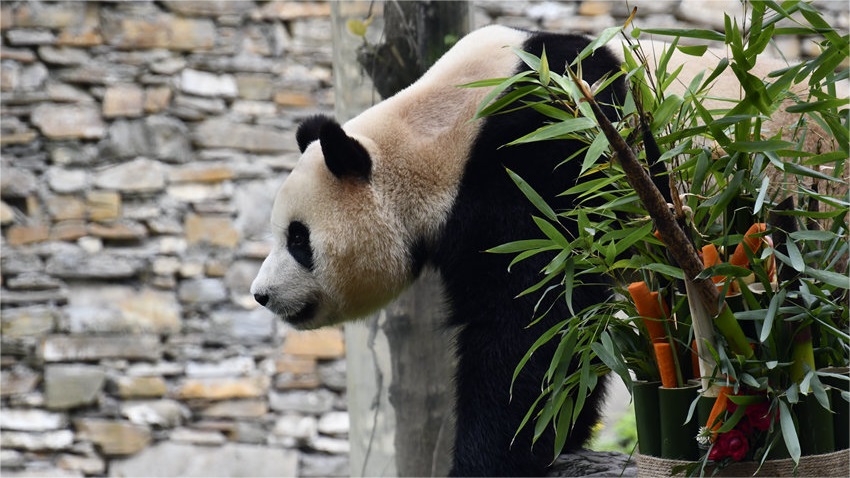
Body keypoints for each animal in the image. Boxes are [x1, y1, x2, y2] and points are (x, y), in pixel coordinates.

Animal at [250, 25, 816, 474]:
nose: (261, 294)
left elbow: (531, 325)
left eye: (297, 239)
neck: (438, 132)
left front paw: (491, 458)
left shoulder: (549, 154)